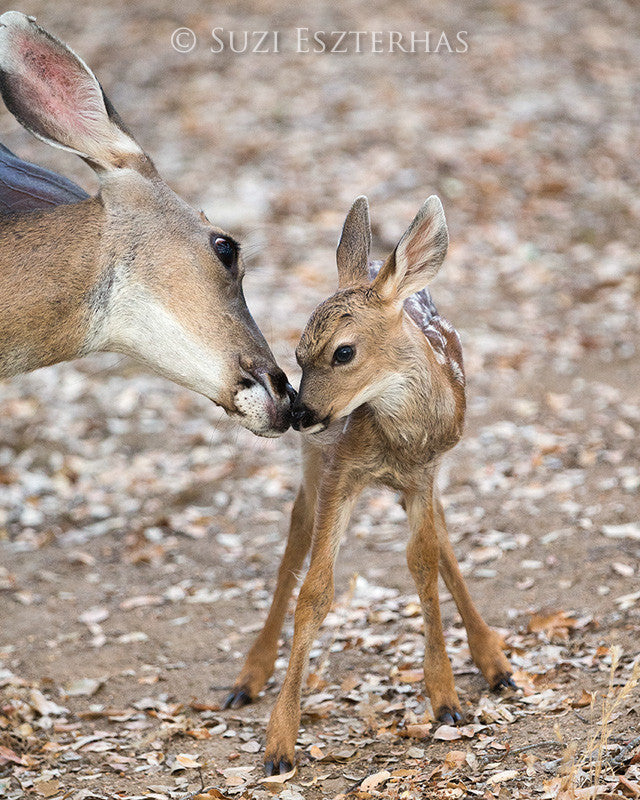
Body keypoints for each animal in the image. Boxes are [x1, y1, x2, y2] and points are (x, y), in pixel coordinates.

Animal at [225, 195, 516, 776]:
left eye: (343, 352)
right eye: (297, 354)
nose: (298, 412)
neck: (398, 436)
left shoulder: (424, 473)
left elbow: (425, 562)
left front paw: (446, 699)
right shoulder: (340, 469)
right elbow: (315, 591)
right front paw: (279, 743)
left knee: (443, 540)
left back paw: (494, 661)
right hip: (313, 464)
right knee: (295, 535)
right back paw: (249, 677)